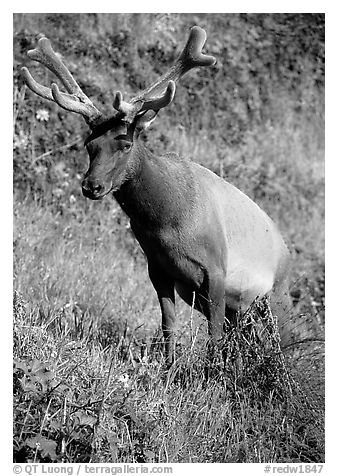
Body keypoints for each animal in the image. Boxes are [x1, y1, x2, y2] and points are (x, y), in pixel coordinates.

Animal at [21, 26, 290, 364]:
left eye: (125, 143)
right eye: (88, 144)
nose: (91, 186)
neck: (168, 222)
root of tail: (286, 250)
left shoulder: (217, 269)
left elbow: (213, 337)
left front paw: (211, 373)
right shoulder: (158, 267)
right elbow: (168, 325)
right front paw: (170, 368)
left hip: (277, 298)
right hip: (241, 309)